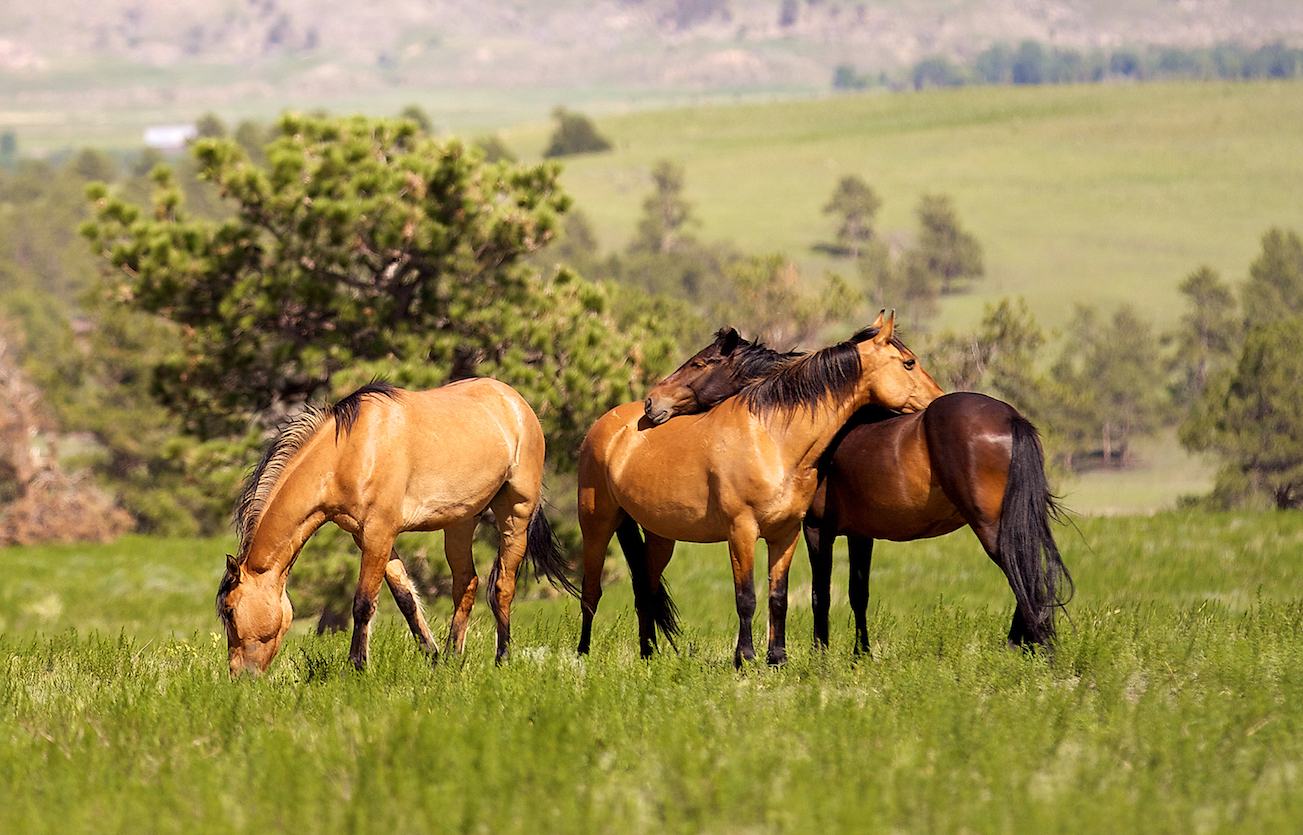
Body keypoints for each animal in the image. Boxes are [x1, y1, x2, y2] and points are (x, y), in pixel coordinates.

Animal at [215, 379, 576, 676]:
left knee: (502, 586)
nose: (240, 676)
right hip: (461, 522)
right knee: (466, 584)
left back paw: (502, 659)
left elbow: (363, 603)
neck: (350, 452)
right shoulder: (368, 536)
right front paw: (431, 656)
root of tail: (516, 402)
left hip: (515, 513)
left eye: (230, 611)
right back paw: (452, 658)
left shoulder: (379, 533)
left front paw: (354, 668)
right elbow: (406, 598)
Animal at [577, 312, 943, 667]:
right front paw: (746, 658)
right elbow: (747, 598)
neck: (772, 438)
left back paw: (648, 656)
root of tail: (606, 424)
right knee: (591, 592)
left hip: (659, 536)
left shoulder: (787, 533)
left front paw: (778, 658)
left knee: (645, 592)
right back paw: (582, 655)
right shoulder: (743, 531)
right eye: (909, 363)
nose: (653, 403)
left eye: (699, 363)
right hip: (596, 526)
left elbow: (779, 597)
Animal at [643, 327, 1073, 653]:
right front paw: (859, 654)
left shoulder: (817, 529)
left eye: (698, 364)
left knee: (1023, 575)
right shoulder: (860, 534)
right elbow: (857, 593)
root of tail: (1011, 417)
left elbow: (821, 593)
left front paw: (820, 654)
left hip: (991, 526)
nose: (651, 402)